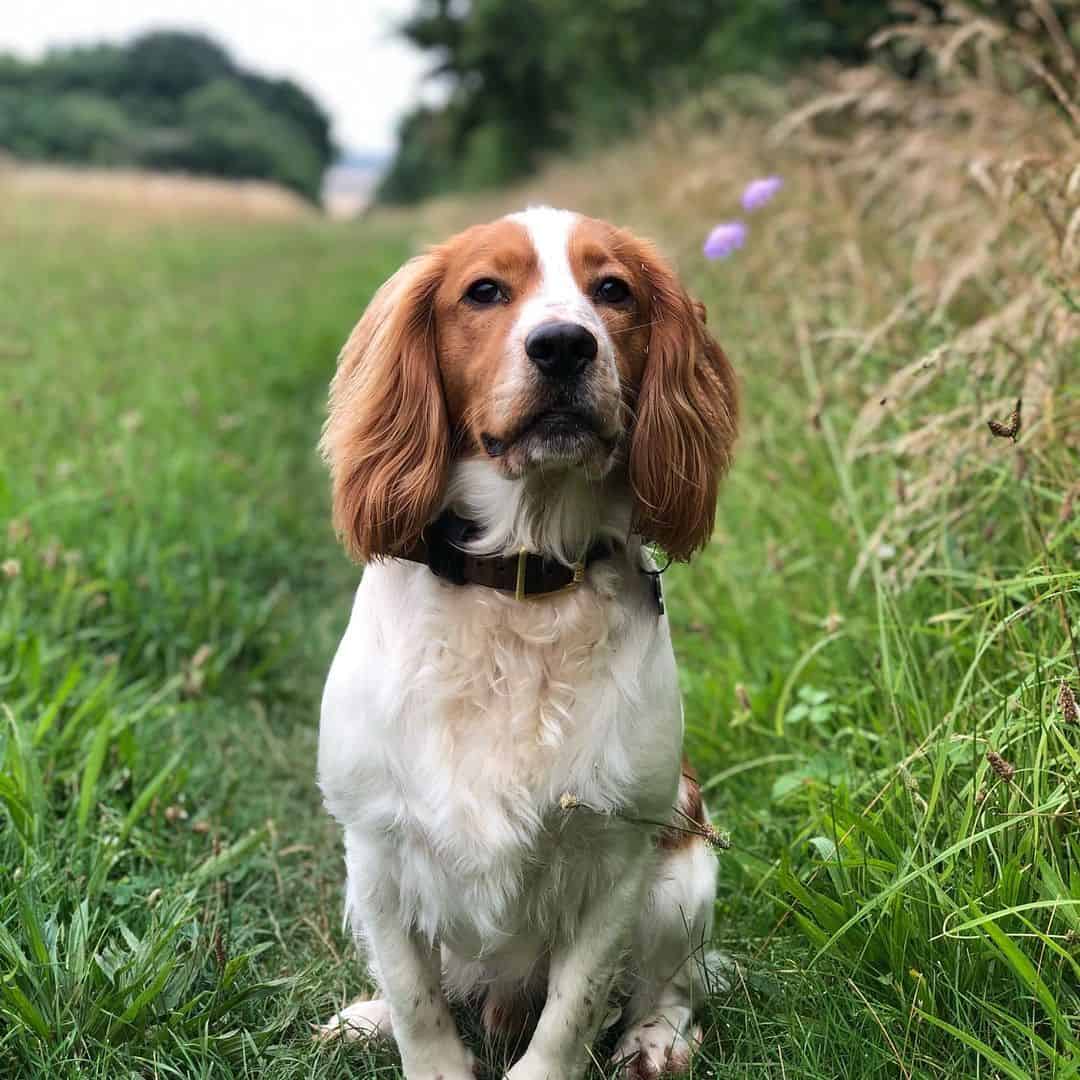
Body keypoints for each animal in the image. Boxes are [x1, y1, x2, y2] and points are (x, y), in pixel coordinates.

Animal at [315, 206, 738, 1075]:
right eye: (484, 291)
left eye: (613, 290)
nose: (565, 345)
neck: (518, 578)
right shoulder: (375, 845)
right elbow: (417, 1001)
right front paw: (413, 1041)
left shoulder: (616, 853)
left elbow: (573, 1009)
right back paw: (366, 1016)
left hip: (685, 877)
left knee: (673, 986)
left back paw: (654, 1041)